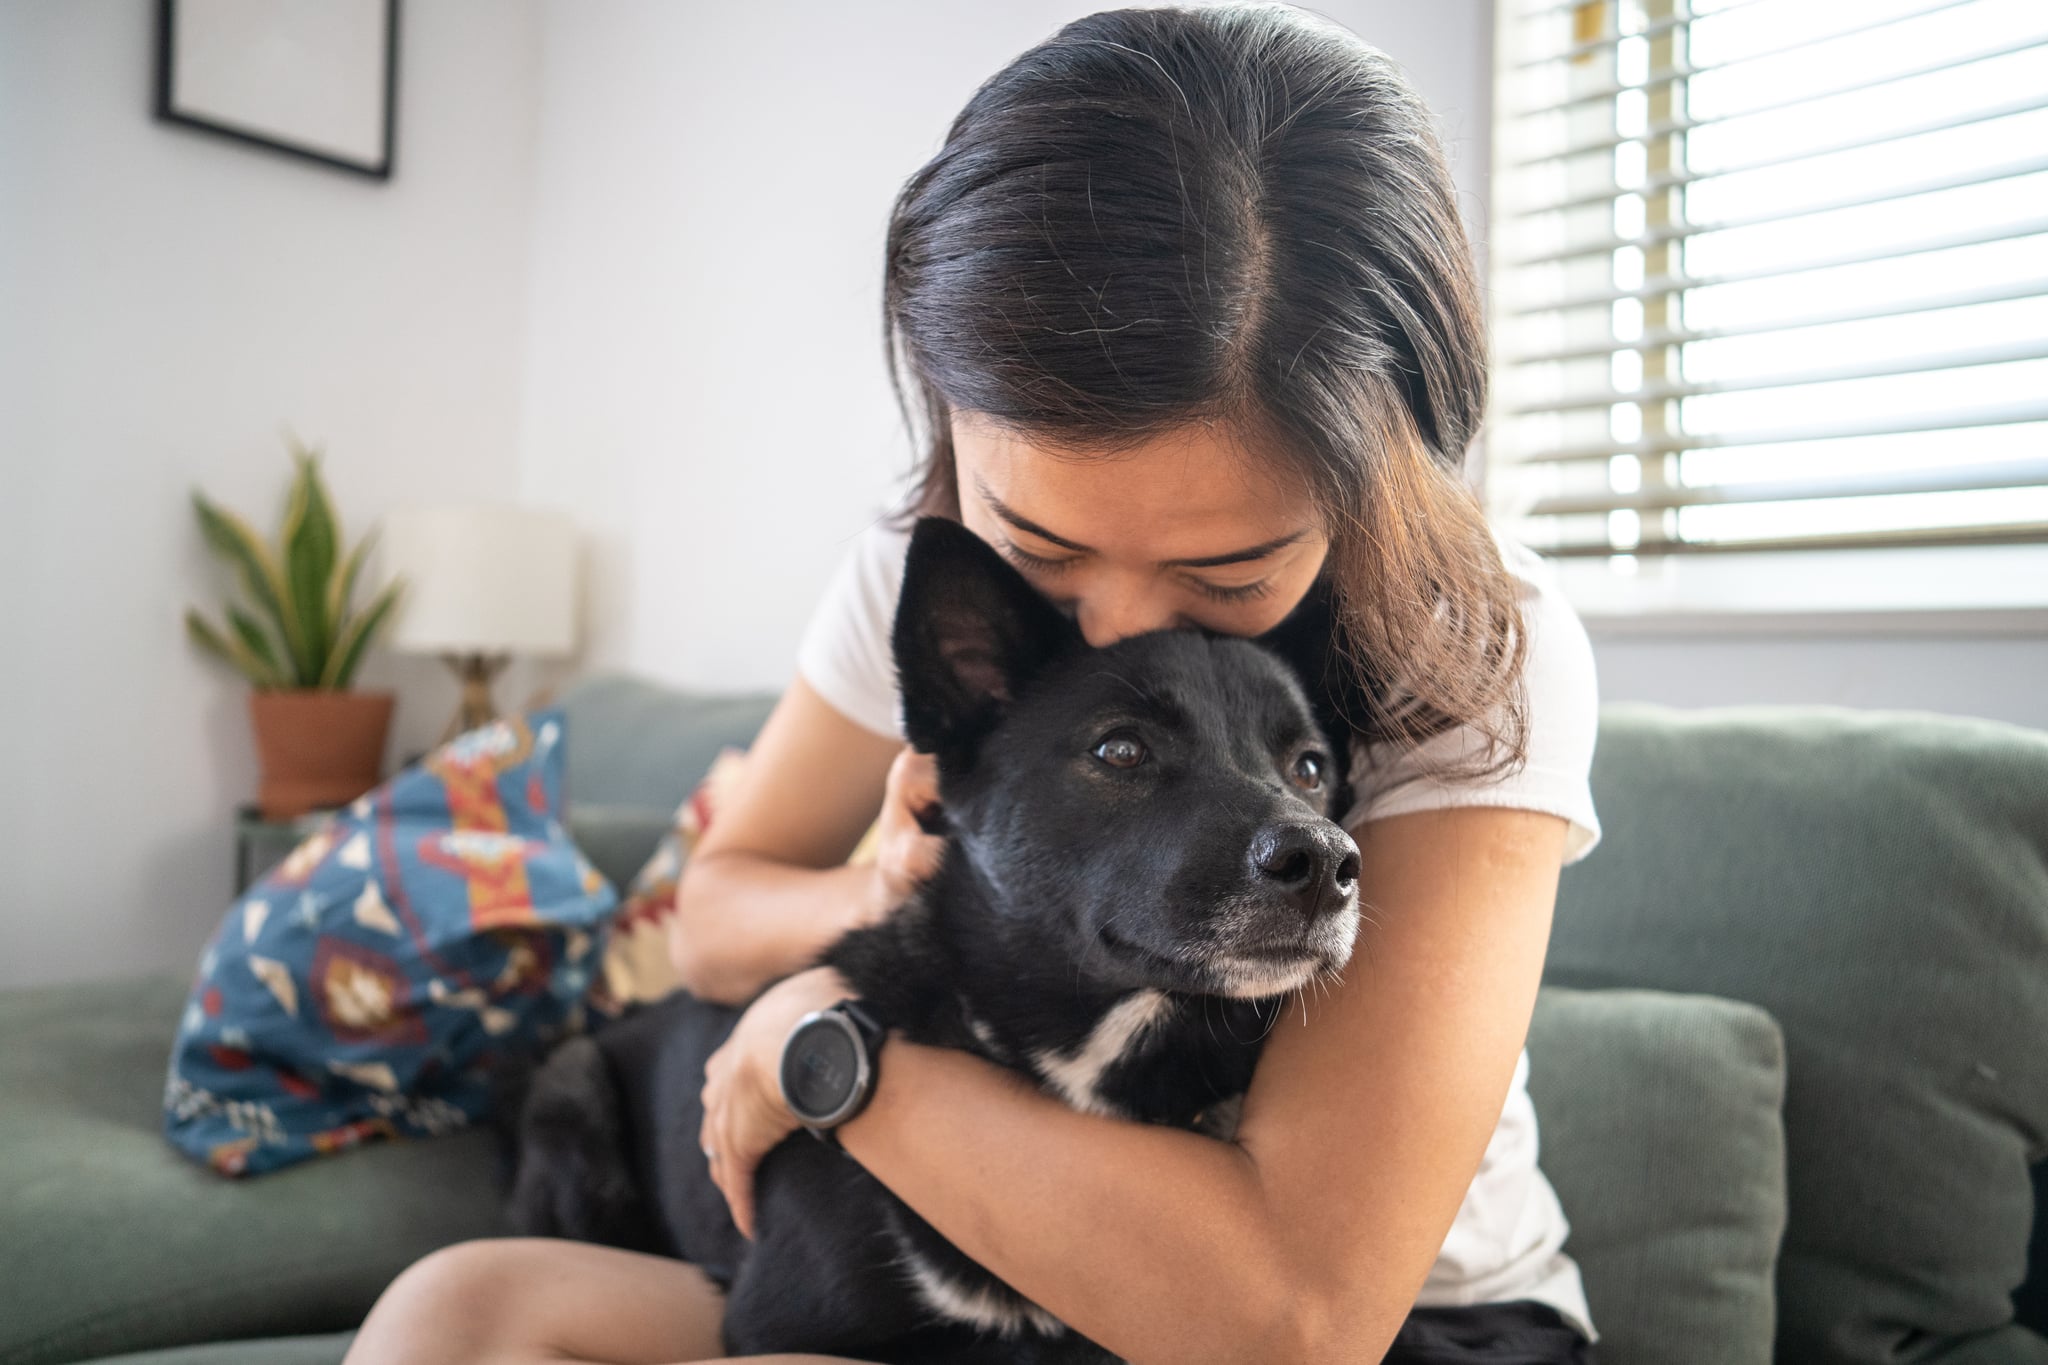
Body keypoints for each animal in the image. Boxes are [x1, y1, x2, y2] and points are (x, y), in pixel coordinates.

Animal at [495, 517, 1368, 1358]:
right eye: (1121, 748)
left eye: (1310, 767)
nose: (1327, 862)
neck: (1086, 1051)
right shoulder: (781, 1325)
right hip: (574, 1095)